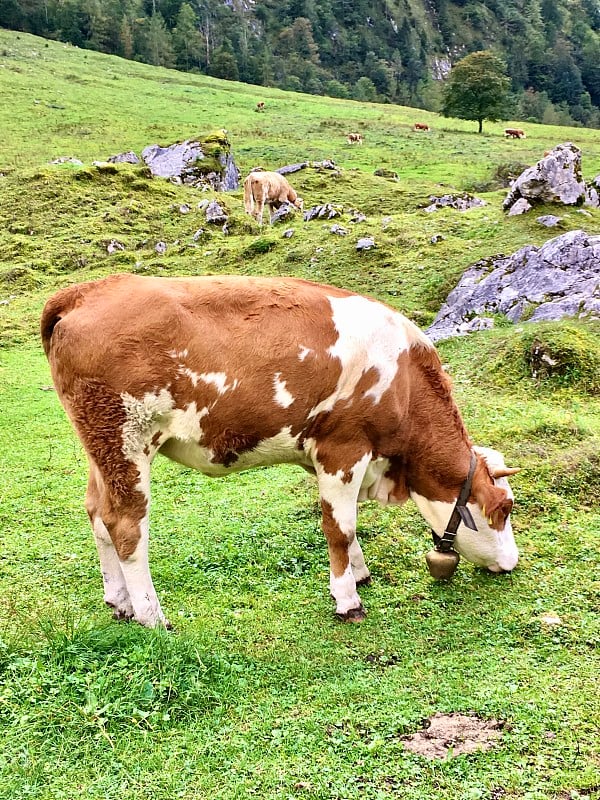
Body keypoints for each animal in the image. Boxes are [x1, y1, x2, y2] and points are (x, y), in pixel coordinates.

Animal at [41, 276, 520, 632]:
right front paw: (348, 599)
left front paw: (359, 572)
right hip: (127, 439)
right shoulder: (343, 448)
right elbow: (340, 528)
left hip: (100, 447)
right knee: (126, 525)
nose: (512, 563)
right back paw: (151, 615)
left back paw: (119, 602)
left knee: (96, 513)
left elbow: (345, 524)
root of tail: (87, 291)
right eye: (504, 509)